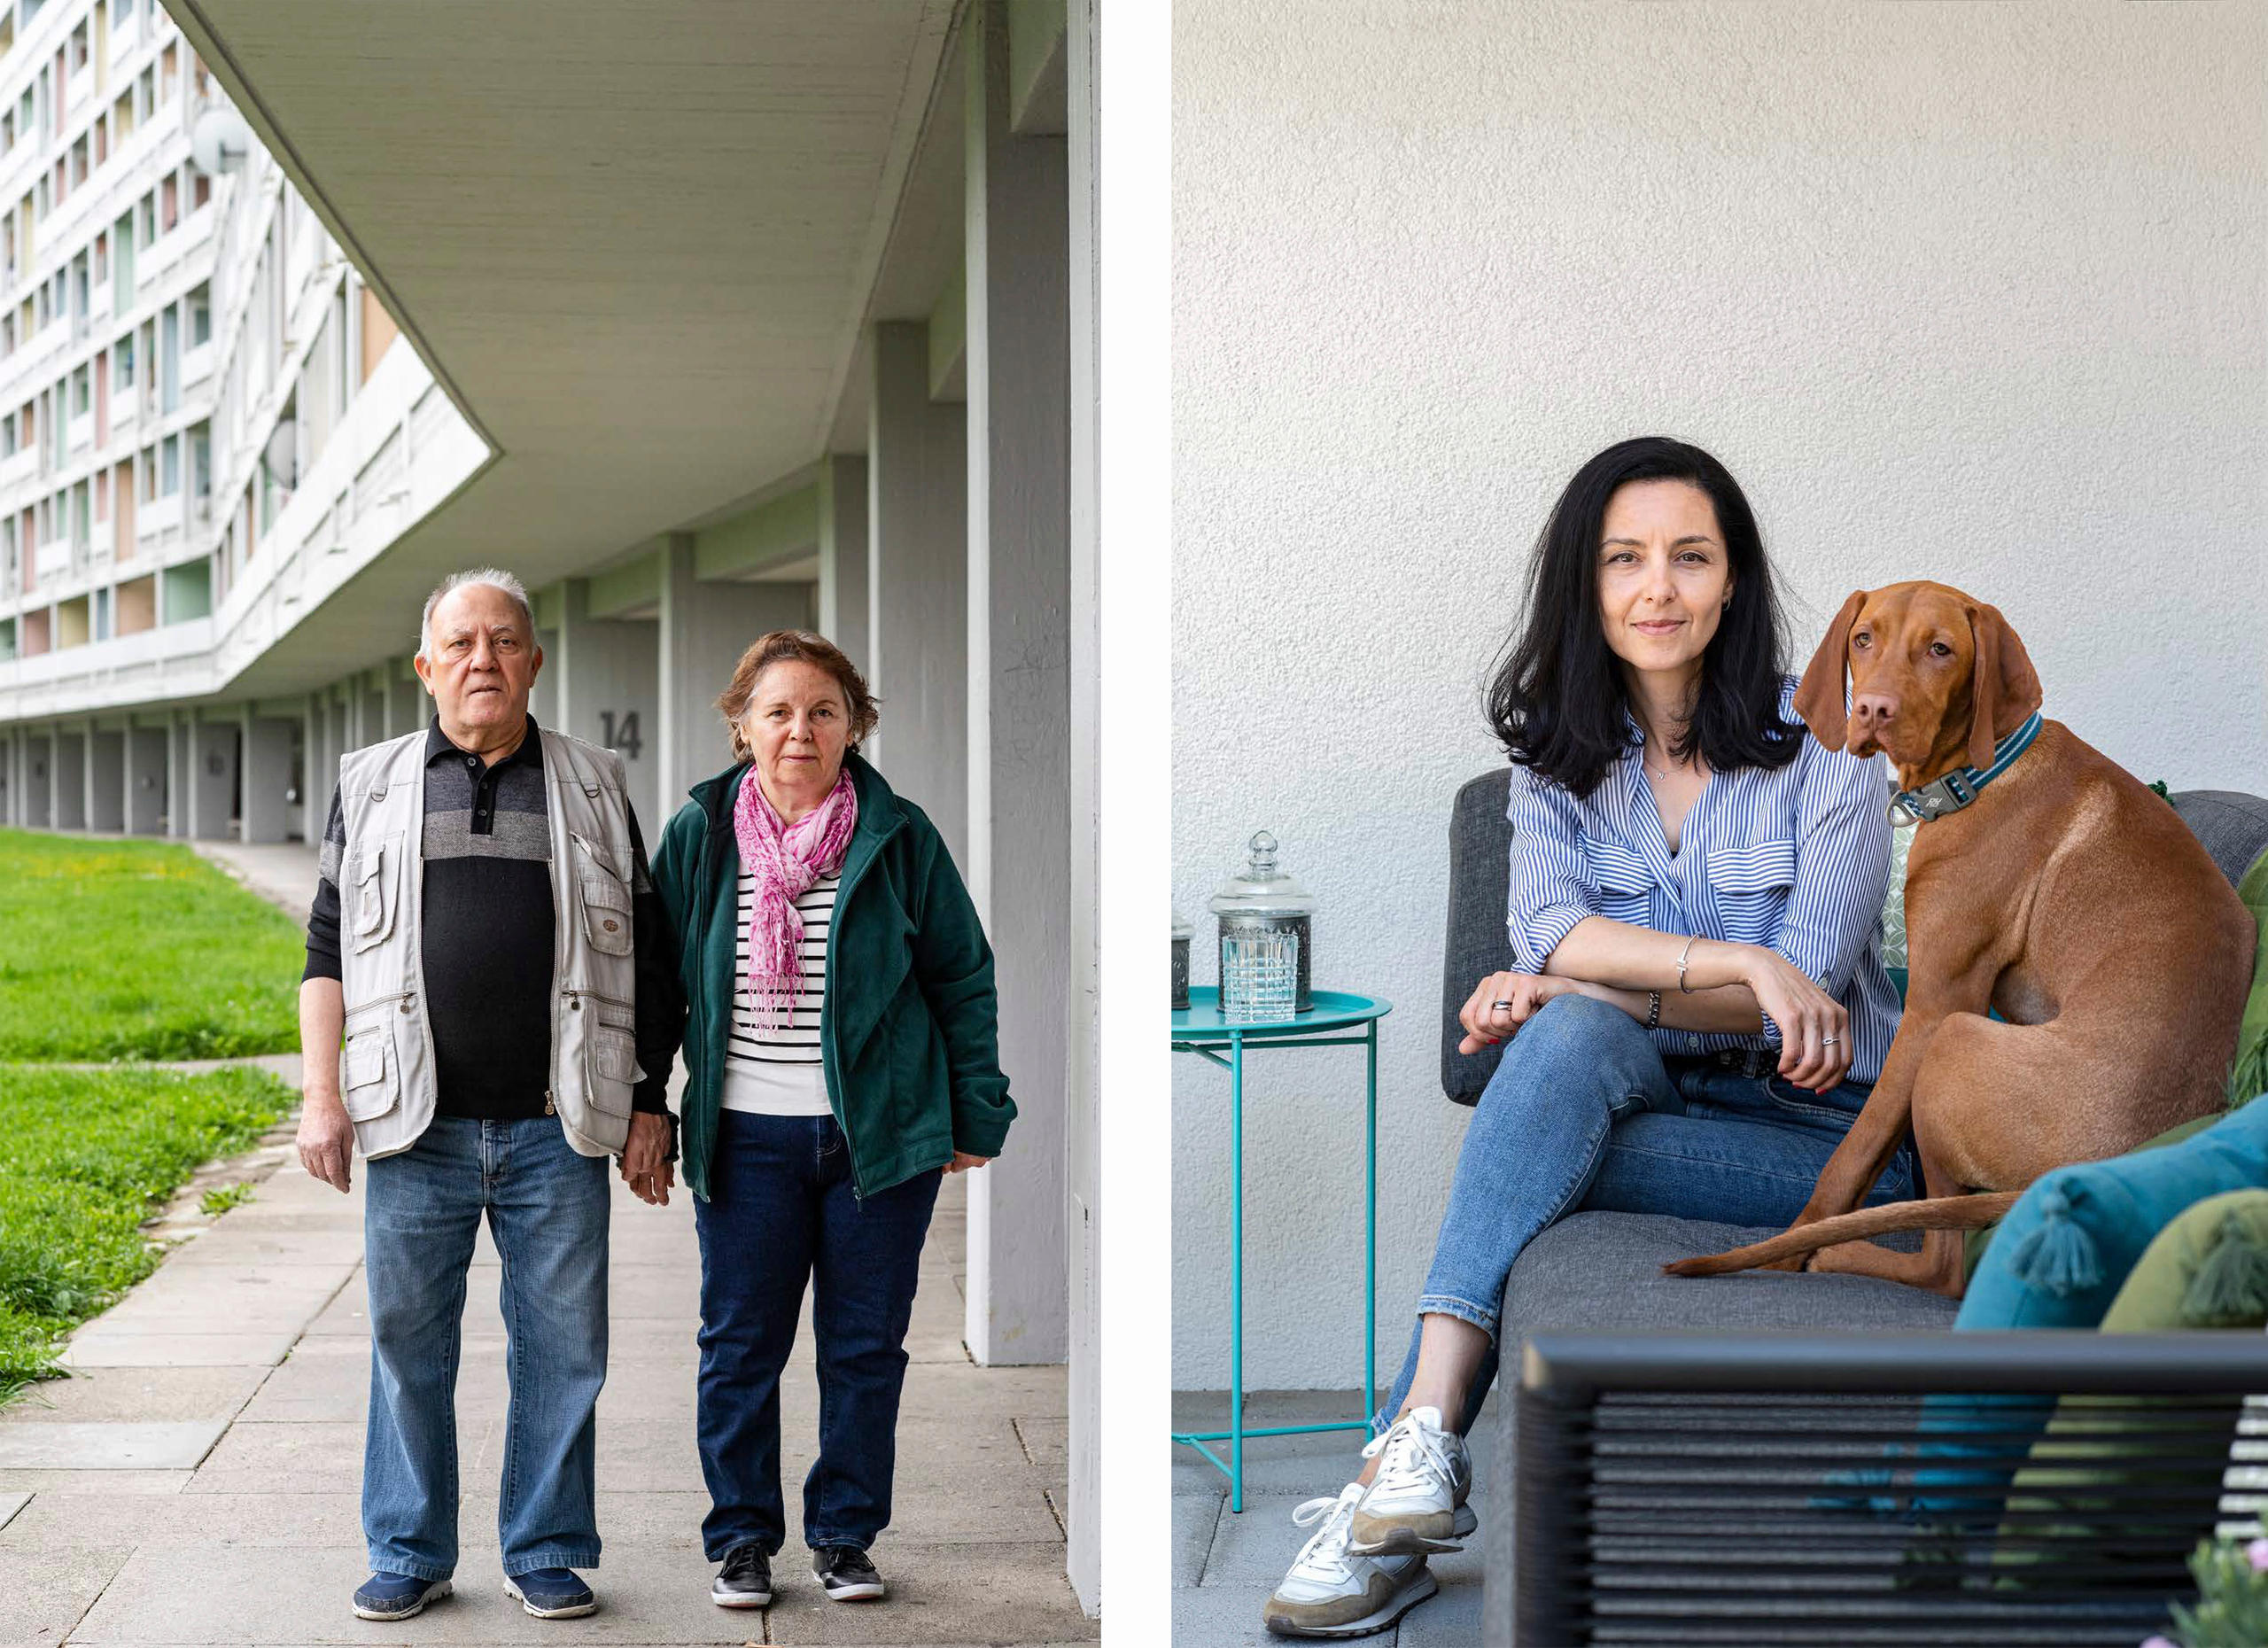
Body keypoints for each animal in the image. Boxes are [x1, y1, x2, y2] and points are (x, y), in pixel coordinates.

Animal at [1659, 585, 2258, 1296]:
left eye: (1941, 649)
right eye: (1864, 639)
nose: (1872, 709)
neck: (1981, 773)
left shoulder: (1933, 1007)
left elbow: (1851, 1153)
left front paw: (1785, 1249)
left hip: (1953, 1044)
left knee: (1945, 1264)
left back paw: (1834, 1252)